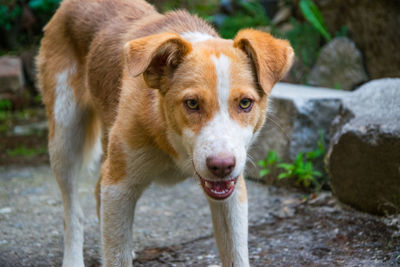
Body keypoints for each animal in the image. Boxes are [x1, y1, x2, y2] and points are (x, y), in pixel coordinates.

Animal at [36, 0, 294, 266]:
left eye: (245, 103)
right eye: (192, 104)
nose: (221, 166)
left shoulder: (231, 193)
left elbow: (236, 254)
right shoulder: (119, 187)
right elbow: (116, 253)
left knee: (98, 190)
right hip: (65, 137)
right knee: (72, 212)